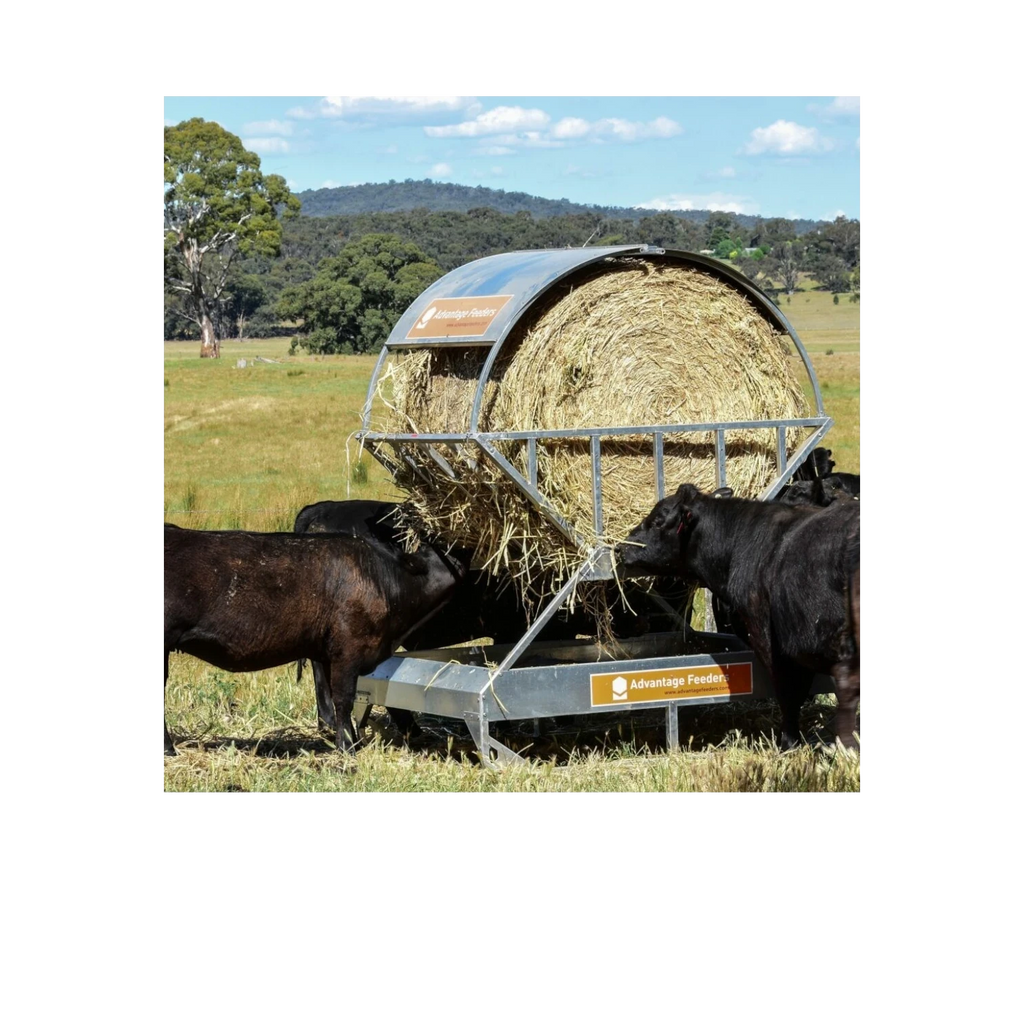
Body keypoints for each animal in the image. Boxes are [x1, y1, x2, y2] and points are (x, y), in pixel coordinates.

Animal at [161, 524, 468, 756]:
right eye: (449, 549)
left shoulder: (328, 653)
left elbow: (332, 696)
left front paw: (350, 740)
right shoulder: (348, 649)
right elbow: (343, 699)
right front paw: (347, 748)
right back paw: (167, 749)